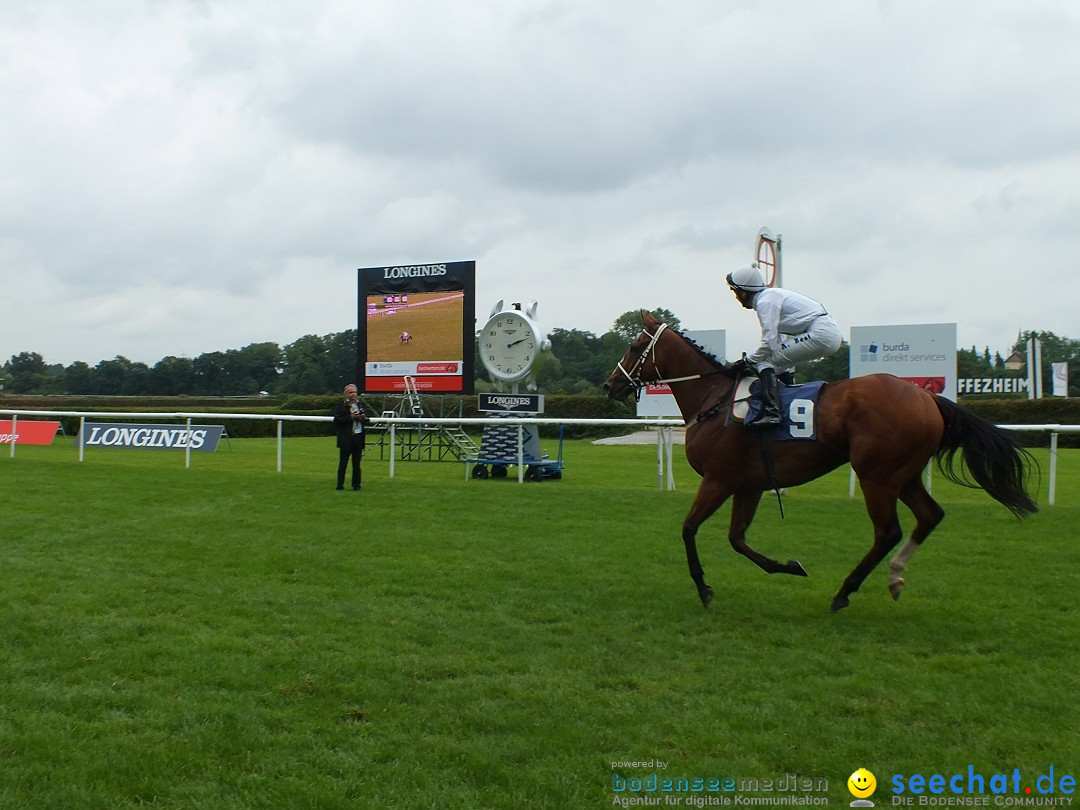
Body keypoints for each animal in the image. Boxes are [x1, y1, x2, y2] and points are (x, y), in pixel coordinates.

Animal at [609, 313, 1036, 613]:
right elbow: (738, 539)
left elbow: (689, 529)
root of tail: (927, 396)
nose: (610, 385)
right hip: (905, 473)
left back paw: (845, 591)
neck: (713, 398)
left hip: (877, 476)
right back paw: (894, 578)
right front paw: (790, 566)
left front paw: (703, 587)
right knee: (929, 516)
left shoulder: (718, 479)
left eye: (633, 345)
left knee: (888, 531)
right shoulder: (749, 484)